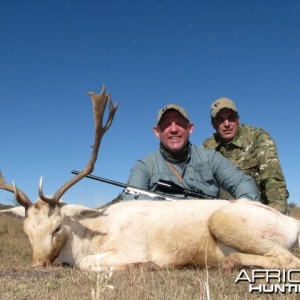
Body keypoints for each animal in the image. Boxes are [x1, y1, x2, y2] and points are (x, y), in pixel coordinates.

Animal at [0, 86, 300, 272]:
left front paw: (148, 265)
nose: (38, 264)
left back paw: (231, 262)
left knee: (289, 259)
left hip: (227, 222)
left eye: (57, 227)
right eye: (26, 231)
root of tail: (293, 225)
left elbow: (88, 265)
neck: (90, 235)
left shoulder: (128, 248)